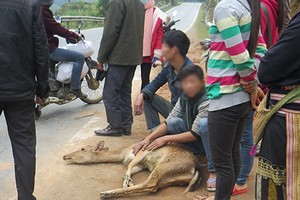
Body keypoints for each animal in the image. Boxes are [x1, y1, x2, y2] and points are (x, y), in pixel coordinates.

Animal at [64, 141, 203, 198]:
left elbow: (128, 167)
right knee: (153, 186)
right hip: (170, 178)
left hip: (164, 167)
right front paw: (129, 181)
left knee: (150, 183)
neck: (122, 154)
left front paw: (127, 182)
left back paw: (106, 193)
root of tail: (194, 168)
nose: (65, 156)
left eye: (82, 149)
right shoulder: (142, 165)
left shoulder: (141, 151)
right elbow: (129, 169)